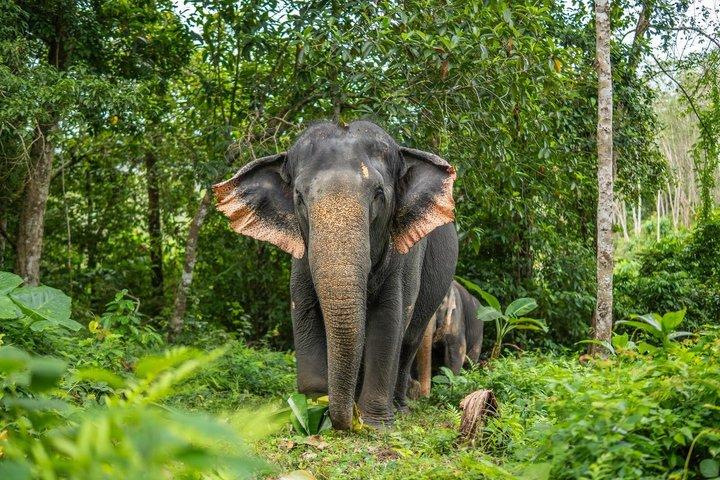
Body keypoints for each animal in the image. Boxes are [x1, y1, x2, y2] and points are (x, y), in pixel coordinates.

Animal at [213, 120, 458, 429]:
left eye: (379, 194)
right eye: (299, 197)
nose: (347, 421)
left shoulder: (405, 257)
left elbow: (388, 319)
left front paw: (375, 424)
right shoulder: (301, 258)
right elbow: (305, 312)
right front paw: (314, 410)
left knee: (409, 340)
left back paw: (400, 408)